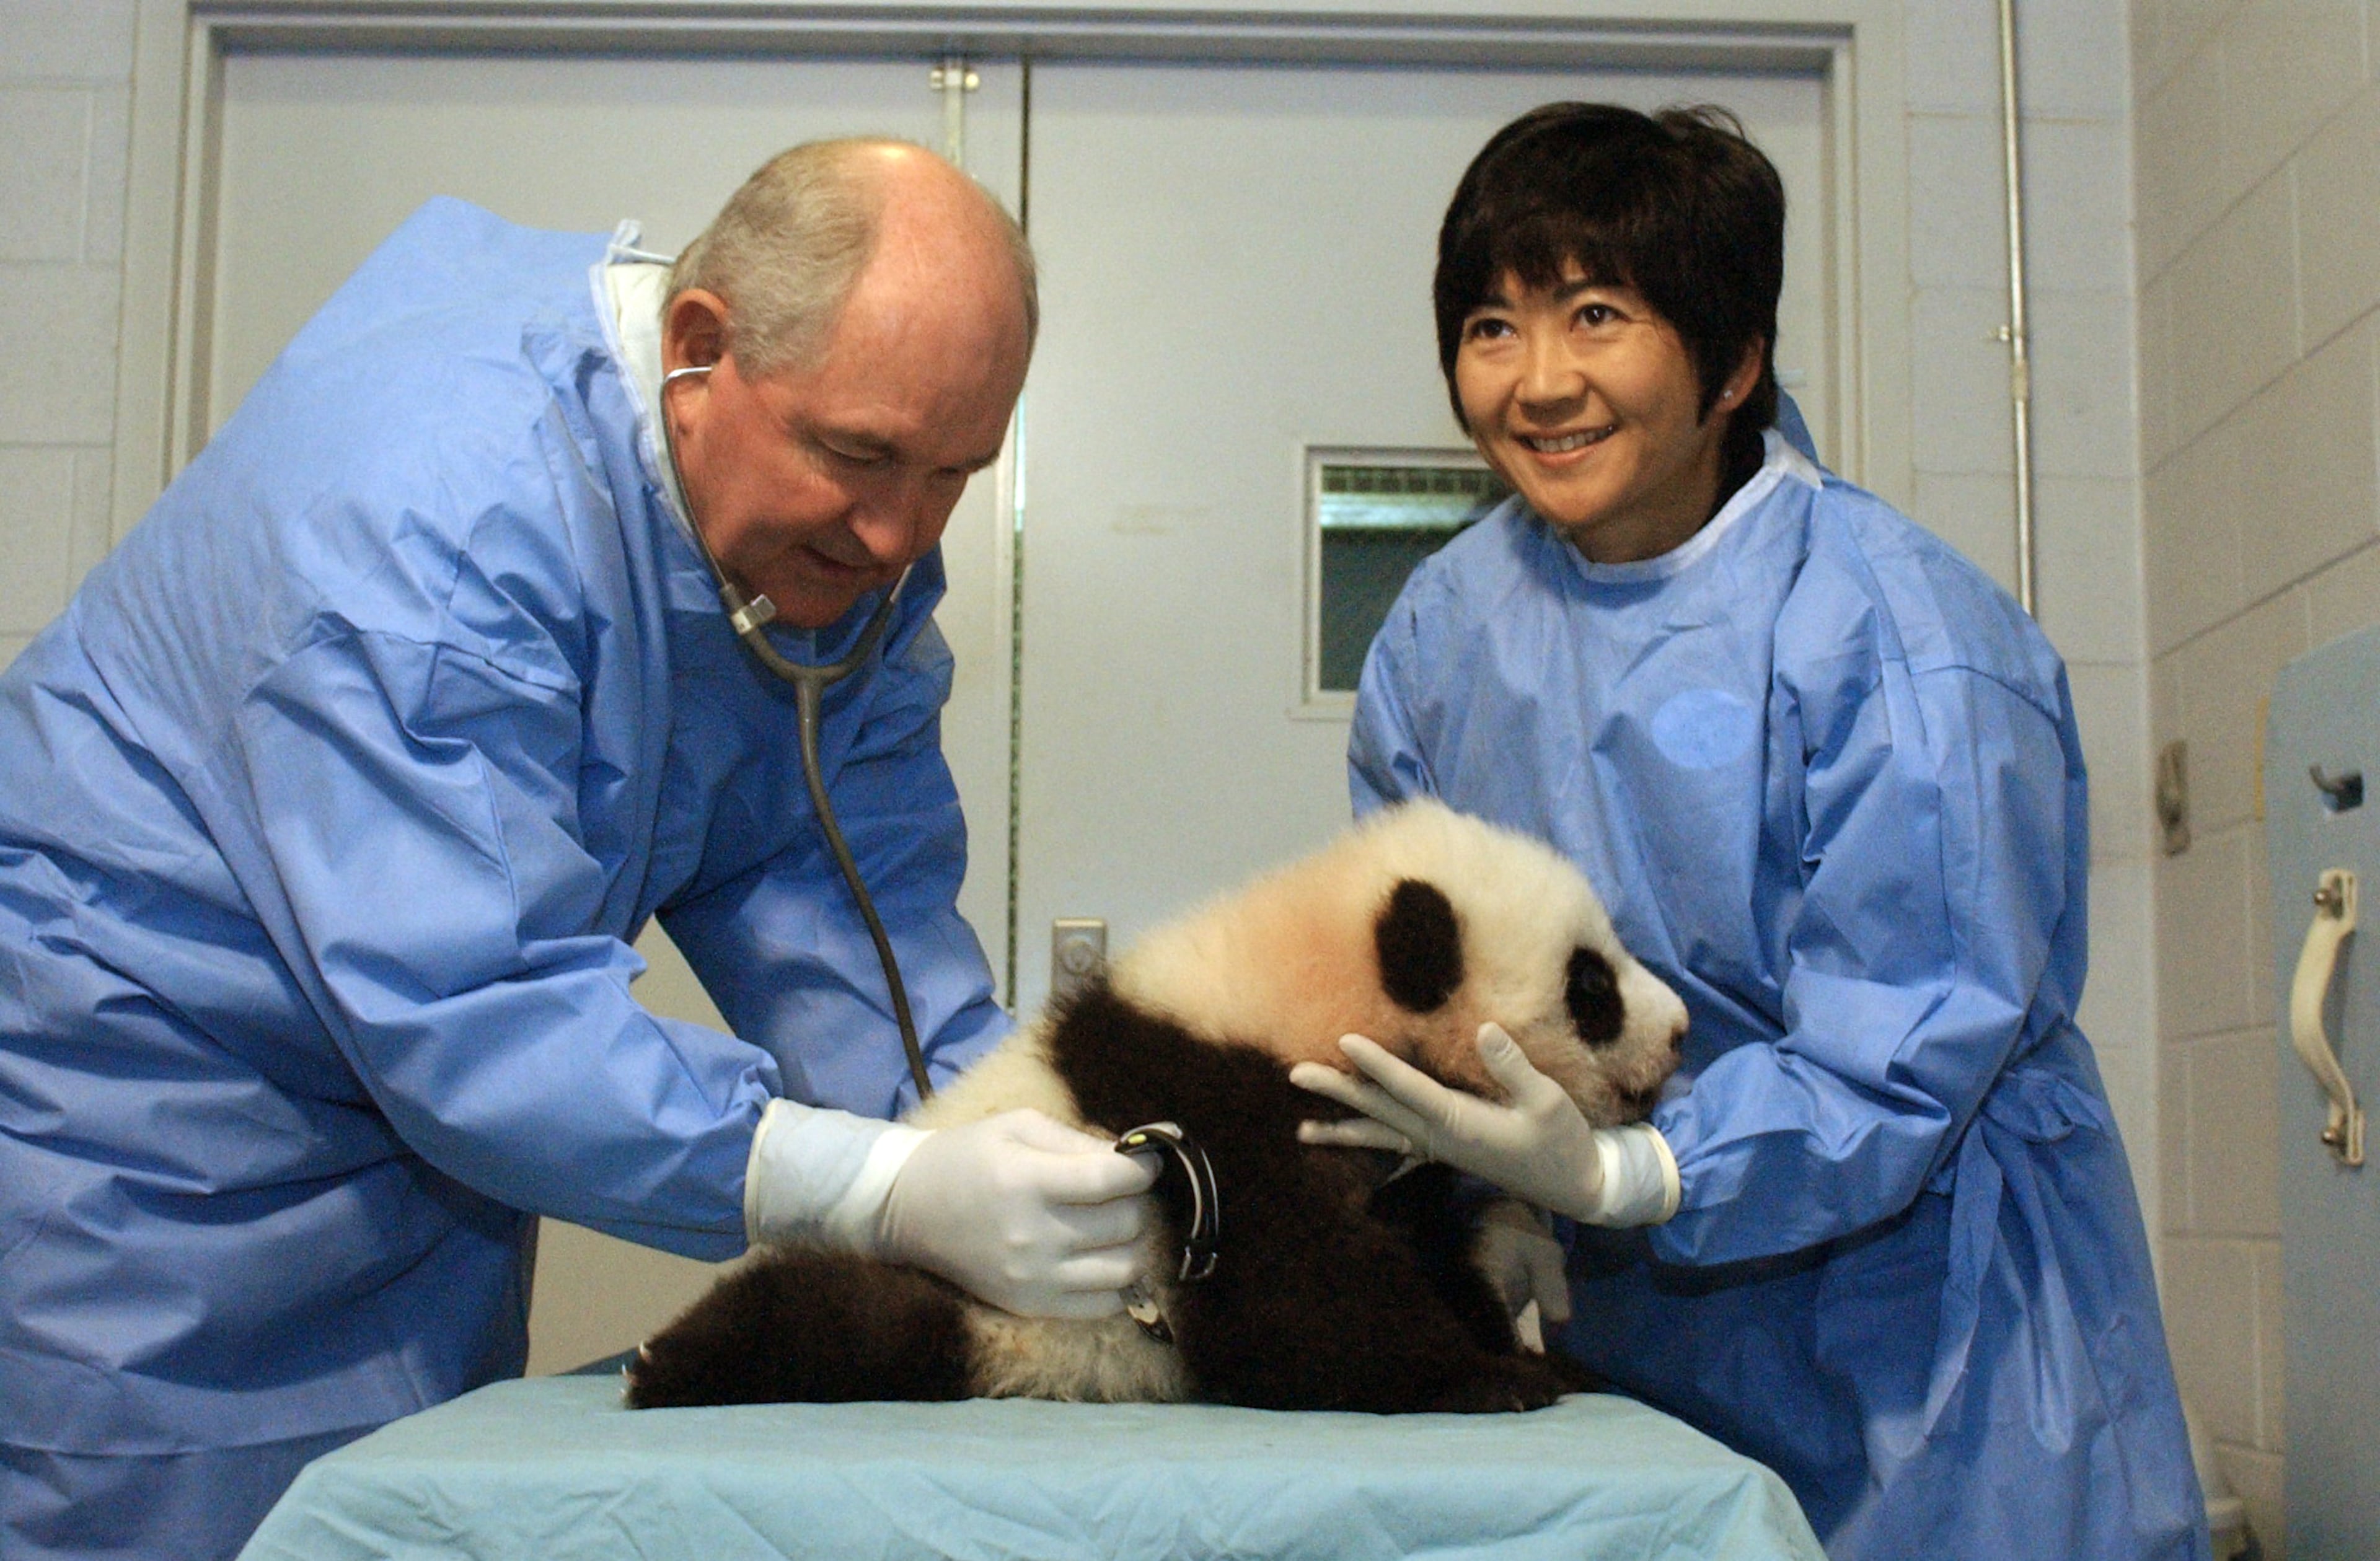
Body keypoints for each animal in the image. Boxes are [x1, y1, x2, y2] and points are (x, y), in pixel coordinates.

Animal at [625, 799, 1685, 1416]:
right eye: (1593, 986)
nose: (1680, 1032)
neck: (1306, 999)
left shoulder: (1373, 1134)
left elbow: (1425, 1247)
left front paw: (1533, 1355)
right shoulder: (1213, 1100)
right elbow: (1291, 1297)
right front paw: (1482, 1376)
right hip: (959, 1285)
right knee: (836, 1317)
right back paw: (668, 1359)